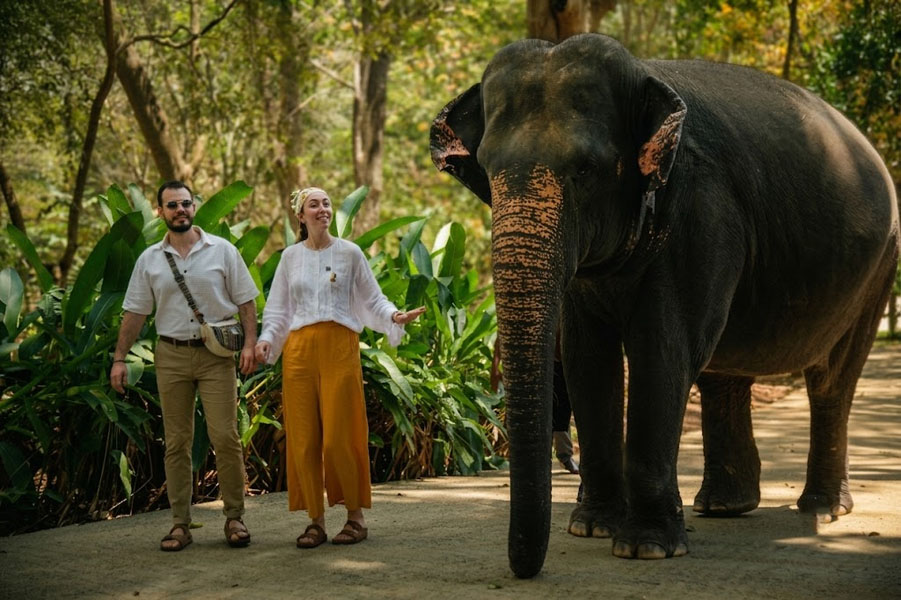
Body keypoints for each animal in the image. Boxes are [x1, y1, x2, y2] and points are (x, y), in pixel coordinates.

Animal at [429, 33, 899, 578]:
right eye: (486, 169)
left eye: (585, 169)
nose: (524, 570)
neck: (644, 76)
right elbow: (590, 360)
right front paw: (591, 527)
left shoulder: (700, 208)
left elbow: (662, 351)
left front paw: (644, 547)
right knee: (725, 371)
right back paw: (723, 506)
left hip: (879, 267)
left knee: (831, 379)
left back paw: (821, 509)